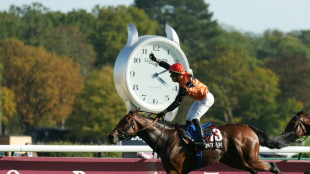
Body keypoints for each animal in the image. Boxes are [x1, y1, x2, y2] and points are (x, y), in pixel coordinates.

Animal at [108, 109, 296, 173]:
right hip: (237, 161)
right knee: (255, 170)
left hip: (250, 157)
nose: (111, 136)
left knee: (272, 166)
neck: (166, 138)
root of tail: (249, 128)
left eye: (125, 122)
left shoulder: (175, 170)